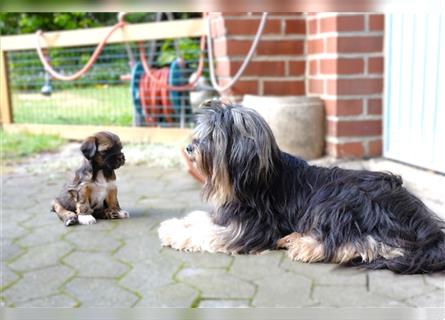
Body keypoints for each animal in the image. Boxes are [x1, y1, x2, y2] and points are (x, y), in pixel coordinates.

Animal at [159, 100, 444, 276]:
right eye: (201, 132)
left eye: (213, 136)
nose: (189, 147)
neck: (254, 179)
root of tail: (419, 216)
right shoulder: (228, 215)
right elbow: (201, 219)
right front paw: (174, 224)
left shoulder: (251, 227)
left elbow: (207, 233)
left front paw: (176, 234)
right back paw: (294, 238)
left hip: (340, 198)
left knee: (370, 244)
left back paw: (305, 246)